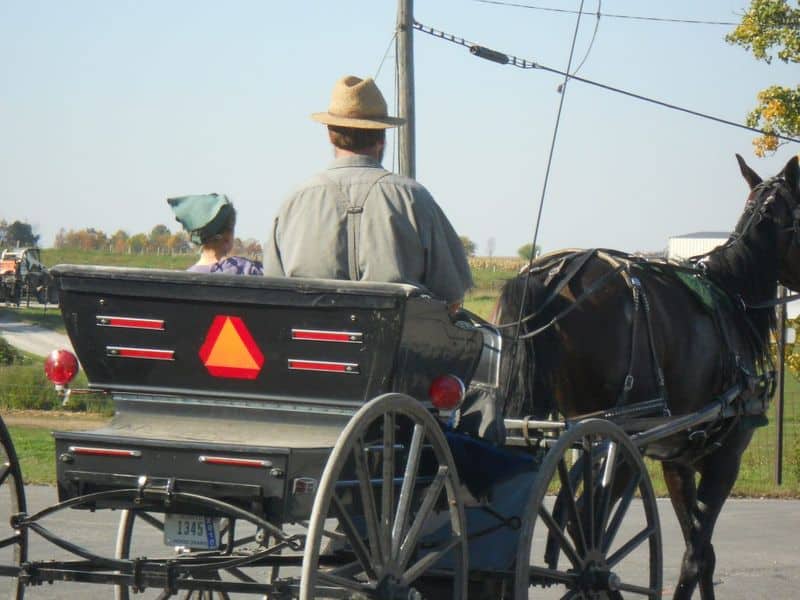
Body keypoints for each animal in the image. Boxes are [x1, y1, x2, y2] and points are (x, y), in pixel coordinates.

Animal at [494, 156, 800, 600]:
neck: (733, 295)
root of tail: (551, 277)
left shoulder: (677, 462)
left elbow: (704, 555)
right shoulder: (727, 458)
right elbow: (696, 556)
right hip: (617, 438)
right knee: (585, 530)